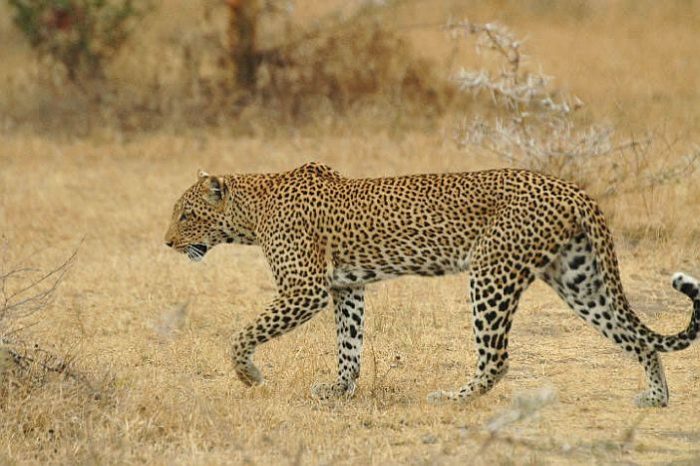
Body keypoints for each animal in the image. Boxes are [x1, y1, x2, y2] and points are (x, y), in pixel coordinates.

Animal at [164, 162, 700, 407]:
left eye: (186, 215)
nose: (167, 242)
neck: (252, 213)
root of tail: (573, 188)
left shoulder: (306, 289)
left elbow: (244, 333)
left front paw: (249, 375)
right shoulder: (346, 288)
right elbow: (349, 344)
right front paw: (340, 389)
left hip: (491, 273)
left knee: (497, 358)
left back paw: (455, 397)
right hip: (578, 278)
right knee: (636, 338)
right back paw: (656, 398)